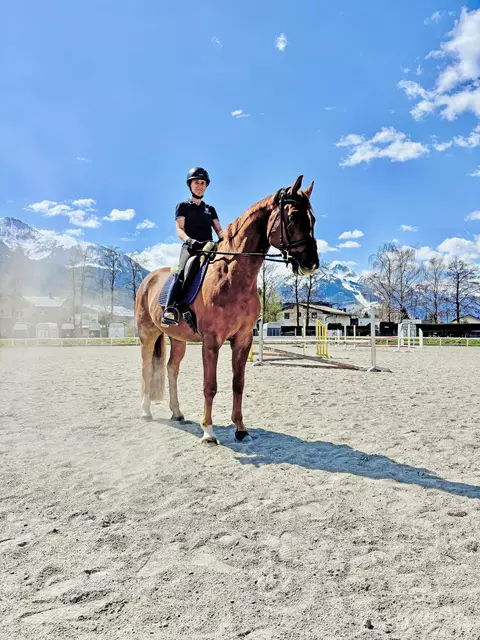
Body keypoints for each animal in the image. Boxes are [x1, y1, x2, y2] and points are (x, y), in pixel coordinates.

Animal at [135, 175, 319, 444]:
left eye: (312, 219)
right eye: (294, 217)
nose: (310, 263)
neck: (233, 275)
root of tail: (148, 279)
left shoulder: (242, 339)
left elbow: (237, 384)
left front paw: (241, 429)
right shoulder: (211, 341)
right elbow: (209, 386)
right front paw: (208, 431)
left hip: (177, 338)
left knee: (171, 368)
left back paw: (177, 412)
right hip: (147, 334)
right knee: (147, 368)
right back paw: (146, 410)